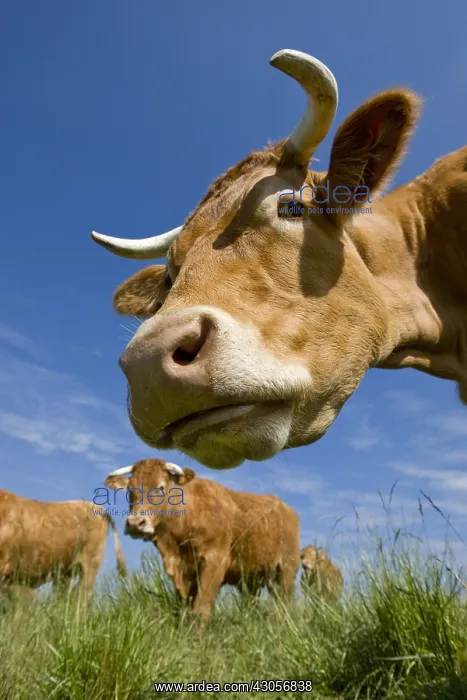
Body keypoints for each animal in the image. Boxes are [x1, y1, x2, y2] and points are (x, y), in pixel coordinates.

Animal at [104, 458, 300, 620]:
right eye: (130, 490)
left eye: (160, 487)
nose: (135, 523)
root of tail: (286, 508)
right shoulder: (185, 571)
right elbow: (181, 609)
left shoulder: (215, 562)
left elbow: (200, 609)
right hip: (251, 578)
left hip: (286, 570)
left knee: (286, 605)